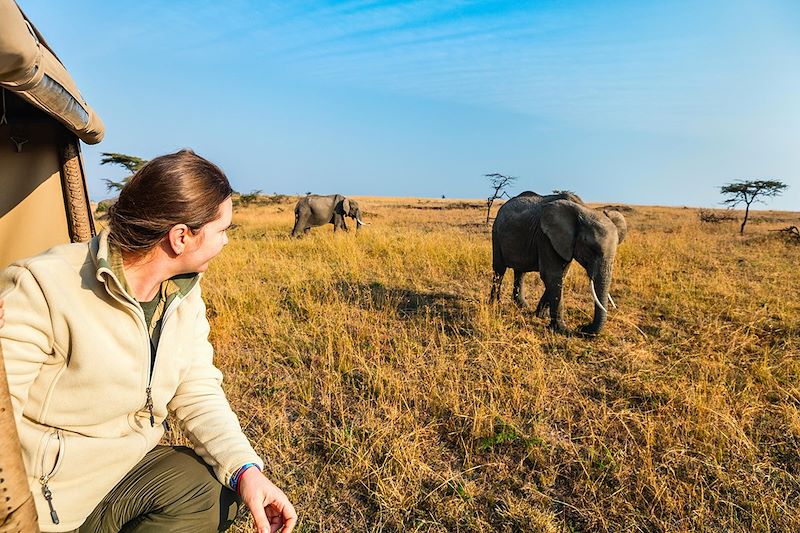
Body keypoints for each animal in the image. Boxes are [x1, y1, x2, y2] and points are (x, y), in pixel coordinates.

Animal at [490, 190, 628, 332]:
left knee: (520, 272)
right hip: (496, 233)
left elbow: (561, 276)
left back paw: (522, 306)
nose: (583, 327)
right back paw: (495, 305)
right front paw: (561, 330)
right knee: (499, 270)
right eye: (591, 249)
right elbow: (551, 275)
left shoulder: (565, 243)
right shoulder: (545, 237)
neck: (583, 209)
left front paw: (540, 315)